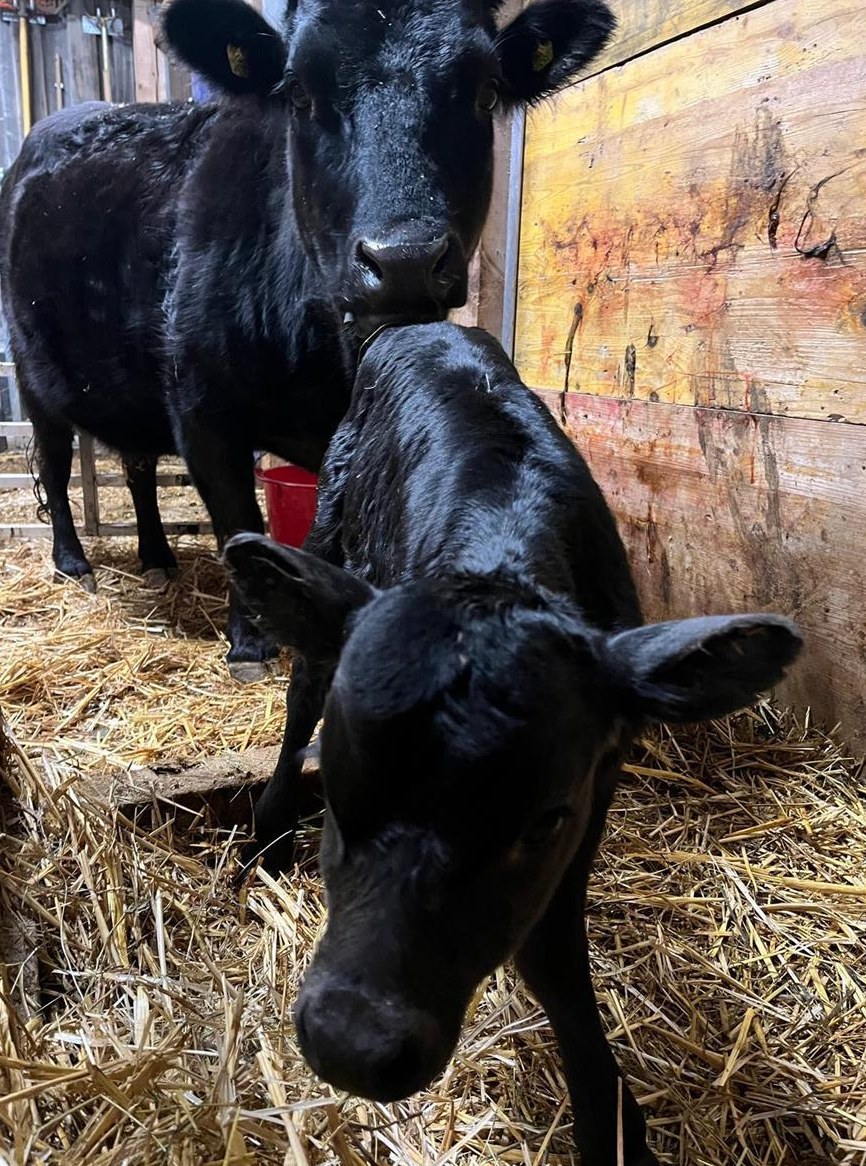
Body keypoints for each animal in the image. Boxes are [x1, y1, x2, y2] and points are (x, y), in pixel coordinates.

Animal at [0, 0, 615, 680]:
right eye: (298, 93)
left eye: (485, 91)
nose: (403, 258)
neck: (321, 365)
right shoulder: (202, 414)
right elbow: (236, 522)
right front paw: (249, 644)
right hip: (33, 375)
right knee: (55, 468)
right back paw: (73, 562)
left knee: (136, 466)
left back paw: (158, 558)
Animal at [223, 322, 803, 1166]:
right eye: (333, 788)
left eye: (543, 819)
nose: (352, 1044)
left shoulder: (595, 784)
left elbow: (552, 947)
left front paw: (609, 1122)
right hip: (330, 534)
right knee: (303, 688)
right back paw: (265, 836)